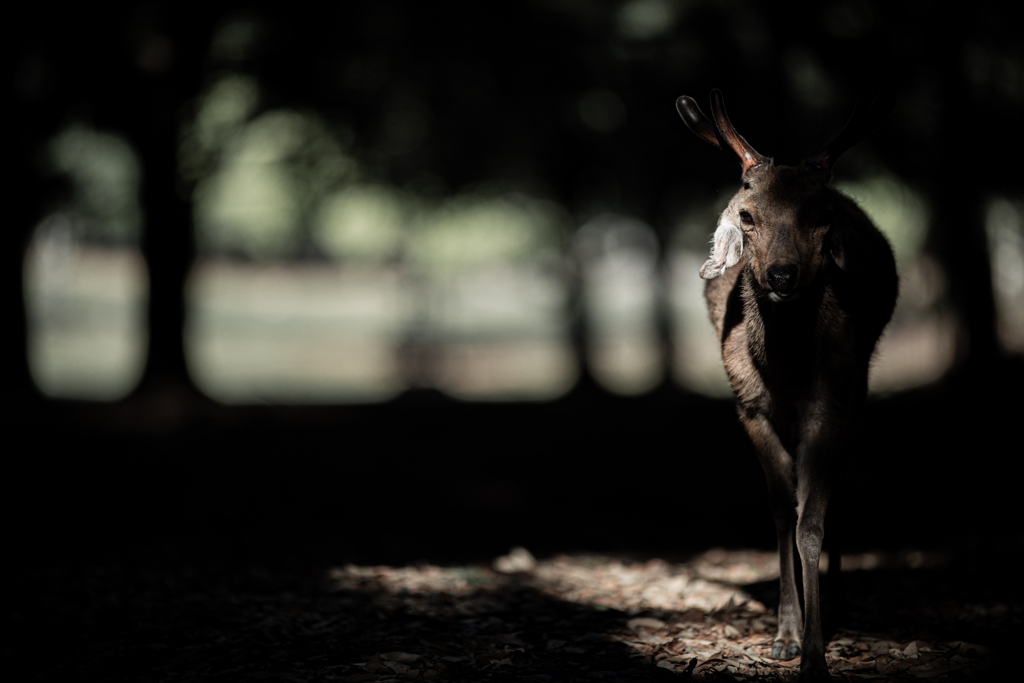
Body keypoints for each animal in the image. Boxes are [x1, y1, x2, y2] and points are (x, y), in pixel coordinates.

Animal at [675, 90, 901, 683]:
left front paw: (816, 658)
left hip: (858, 387)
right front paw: (785, 637)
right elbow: (782, 512)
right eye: (747, 216)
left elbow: (811, 523)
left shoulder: (832, 398)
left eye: (822, 215)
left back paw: (840, 601)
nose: (781, 276)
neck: (787, 371)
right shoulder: (749, 406)